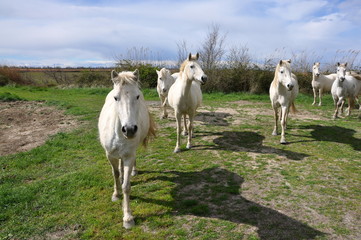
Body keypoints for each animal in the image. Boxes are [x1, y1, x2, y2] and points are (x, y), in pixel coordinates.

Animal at [97, 69, 155, 229]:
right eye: (116, 98)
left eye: (137, 96)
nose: (129, 129)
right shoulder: (110, 156)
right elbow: (115, 174)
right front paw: (116, 195)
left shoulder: (129, 156)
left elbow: (126, 187)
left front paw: (128, 218)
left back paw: (133, 171)